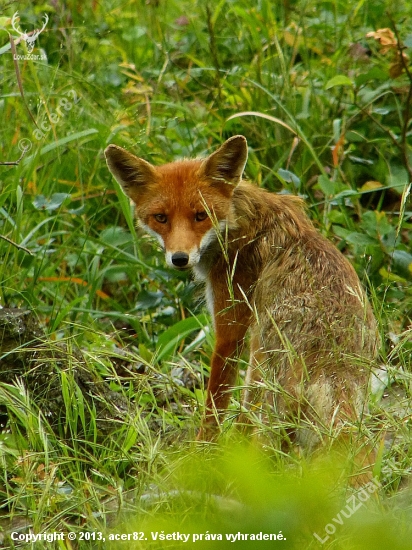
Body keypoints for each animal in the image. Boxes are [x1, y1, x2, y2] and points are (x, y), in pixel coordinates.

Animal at [105, 136, 380, 450]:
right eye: (161, 218)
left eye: (201, 215)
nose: (179, 258)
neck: (240, 224)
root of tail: (333, 362)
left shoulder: (231, 326)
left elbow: (215, 402)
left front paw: (201, 448)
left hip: (260, 354)